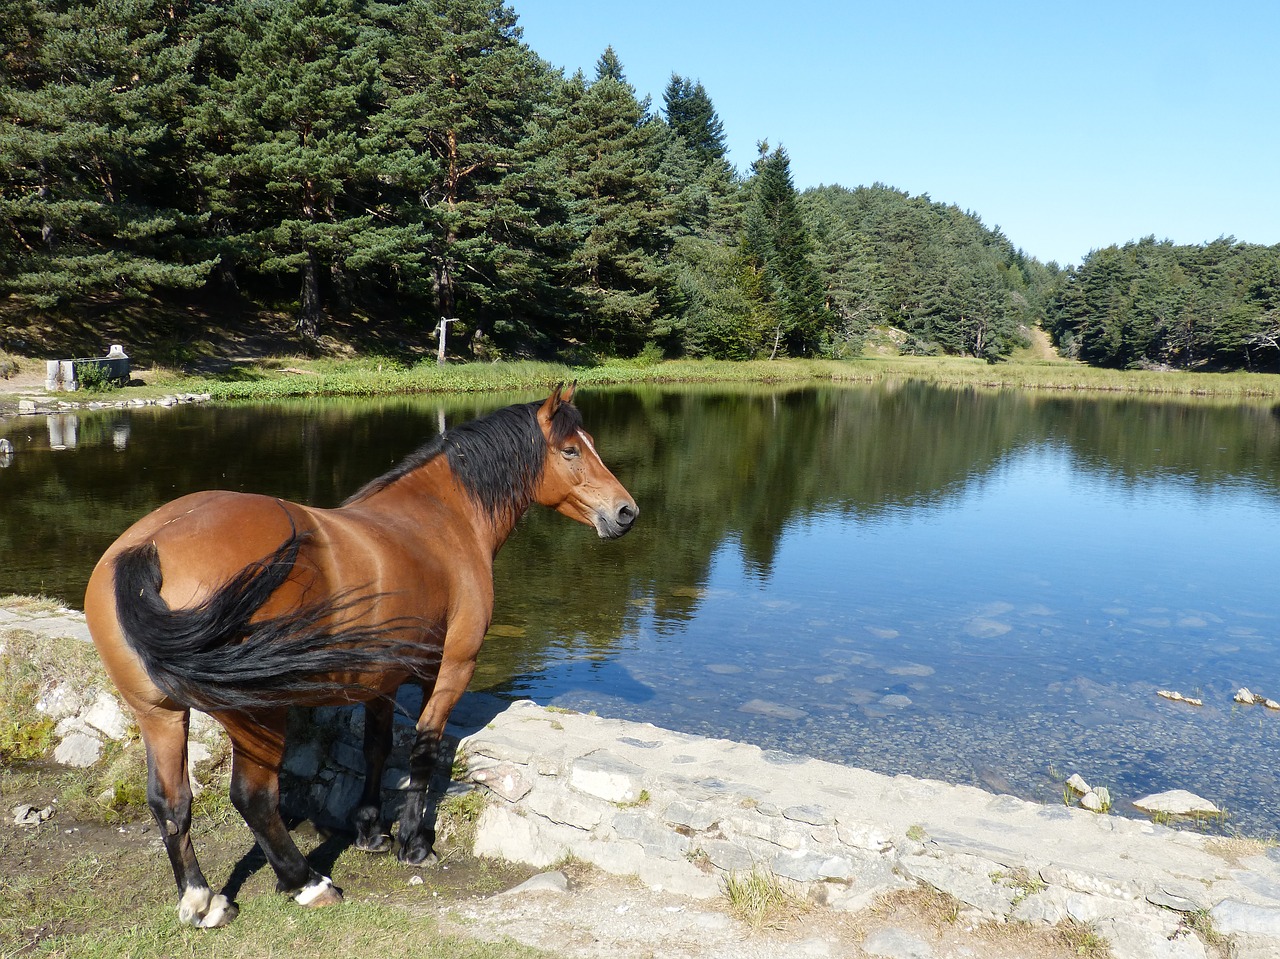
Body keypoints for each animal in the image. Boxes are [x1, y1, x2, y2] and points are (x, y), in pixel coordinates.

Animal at [85, 384, 634, 926]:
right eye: (571, 450)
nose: (626, 511)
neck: (442, 519)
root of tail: (149, 546)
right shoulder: (452, 668)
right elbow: (424, 748)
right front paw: (413, 843)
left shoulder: (382, 679)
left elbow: (376, 746)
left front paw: (371, 830)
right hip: (258, 714)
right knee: (253, 797)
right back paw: (306, 883)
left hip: (159, 714)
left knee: (170, 802)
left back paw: (202, 900)